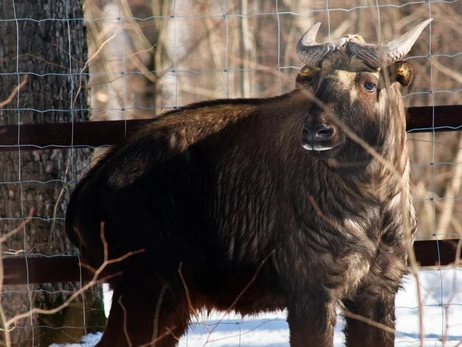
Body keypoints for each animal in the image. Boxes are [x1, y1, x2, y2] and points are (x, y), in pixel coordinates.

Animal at [66, 19, 434, 347]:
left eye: (369, 83)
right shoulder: (311, 291)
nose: (316, 132)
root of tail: (87, 188)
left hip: (169, 305)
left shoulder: (378, 290)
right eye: (318, 84)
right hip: (144, 293)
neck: (373, 198)